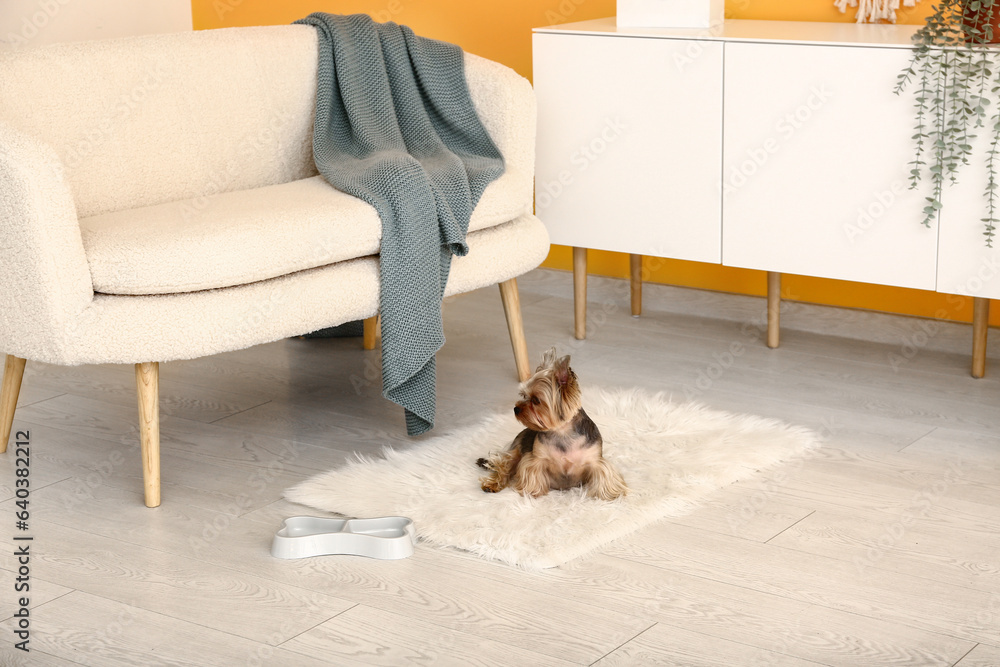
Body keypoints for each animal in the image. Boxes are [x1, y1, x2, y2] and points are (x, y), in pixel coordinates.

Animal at [476, 350, 624, 500]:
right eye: (523, 395)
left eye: (536, 400)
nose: (516, 409)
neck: (562, 432)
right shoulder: (536, 459)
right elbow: (532, 474)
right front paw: (531, 493)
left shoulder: (595, 460)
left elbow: (604, 476)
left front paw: (610, 496)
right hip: (515, 451)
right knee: (503, 465)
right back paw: (492, 484)